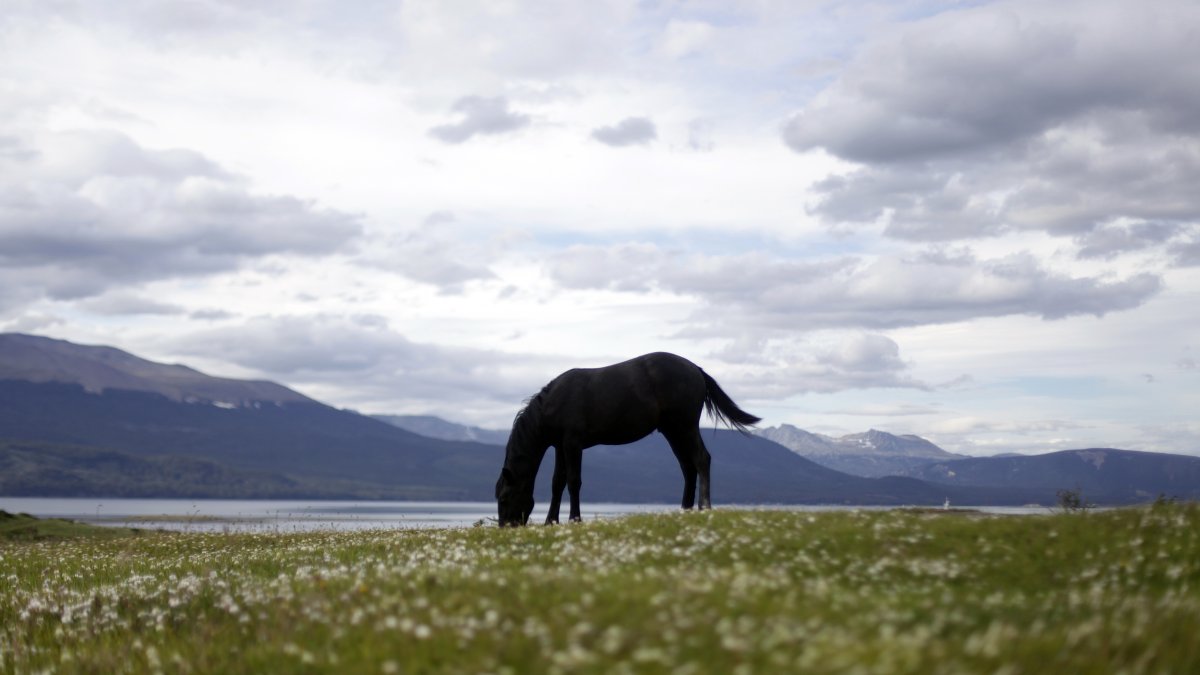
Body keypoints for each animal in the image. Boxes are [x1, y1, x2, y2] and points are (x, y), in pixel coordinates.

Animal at [494, 352, 760, 526]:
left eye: (505, 497)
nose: (506, 527)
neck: (554, 403)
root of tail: (696, 369)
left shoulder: (573, 443)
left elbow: (573, 481)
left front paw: (574, 519)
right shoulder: (561, 446)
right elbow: (557, 483)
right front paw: (551, 520)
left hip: (685, 426)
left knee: (701, 459)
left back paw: (704, 506)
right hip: (673, 431)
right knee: (688, 467)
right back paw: (684, 509)